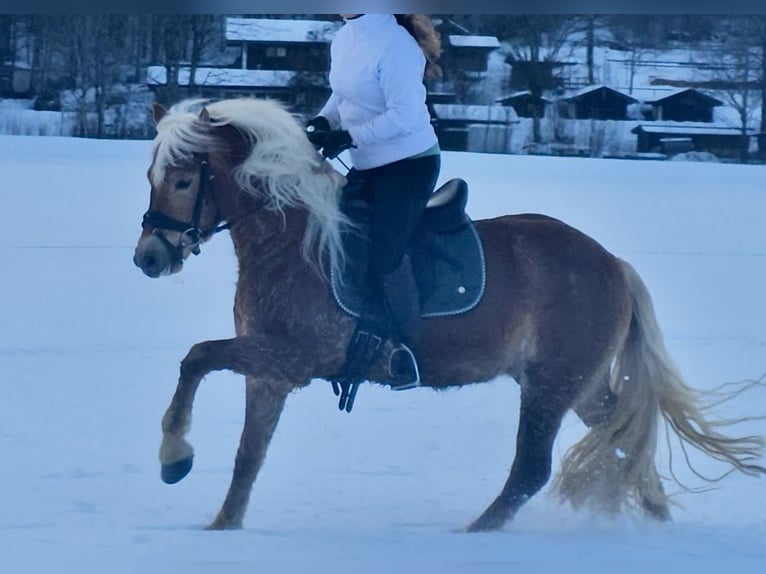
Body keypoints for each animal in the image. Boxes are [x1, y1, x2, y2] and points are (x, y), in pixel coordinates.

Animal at [133, 97, 765, 532]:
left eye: (184, 178)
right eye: (151, 175)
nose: (148, 258)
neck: (293, 238)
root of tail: (612, 264)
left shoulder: (291, 357)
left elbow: (196, 357)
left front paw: (173, 456)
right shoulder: (269, 374)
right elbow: (247, 456)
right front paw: (220, 524)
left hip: (550, 383)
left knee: (532, 469)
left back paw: (474, 535)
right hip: (578, 383)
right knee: (623, 437)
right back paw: (657, 518)